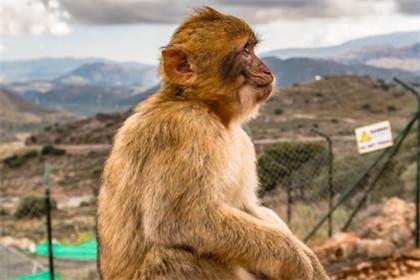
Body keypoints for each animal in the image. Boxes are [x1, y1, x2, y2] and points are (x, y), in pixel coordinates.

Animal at [97, 6, 330, 280]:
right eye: (246, 51)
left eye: (253, 49)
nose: (267, 69)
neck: (209, 110)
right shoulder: (183, 130)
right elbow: (182, 221)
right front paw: (296, 261)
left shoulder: (241, 140)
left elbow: (244, 205)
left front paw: (310, 258)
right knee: (174, 254)